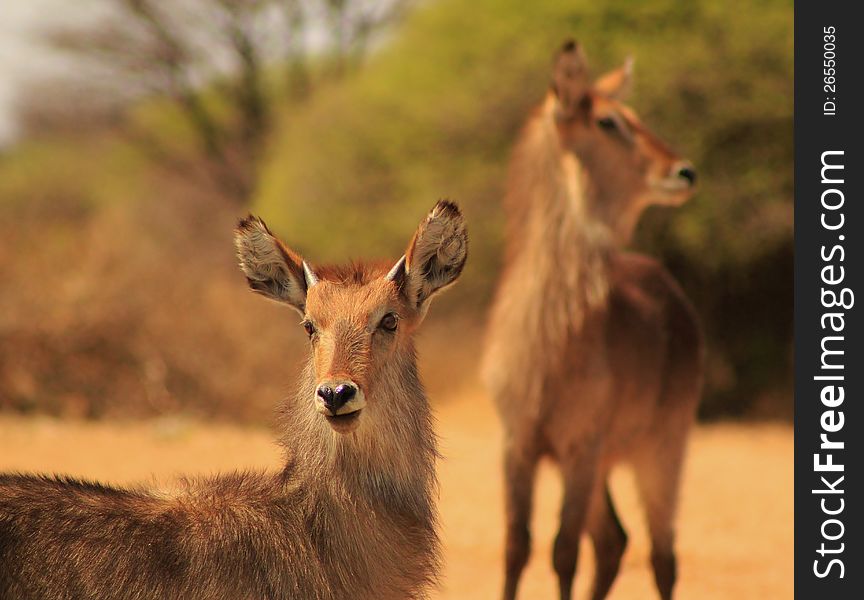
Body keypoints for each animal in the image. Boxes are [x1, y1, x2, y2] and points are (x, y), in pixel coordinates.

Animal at [482, 42, 704, 600]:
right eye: (608, 120)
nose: (685, 171)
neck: (551, 331)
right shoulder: (518, 443)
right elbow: (515, 547)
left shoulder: (580, 446)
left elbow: (562, 552)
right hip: (602, 462)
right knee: (614, 542)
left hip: (661, 449)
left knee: (662, 554)